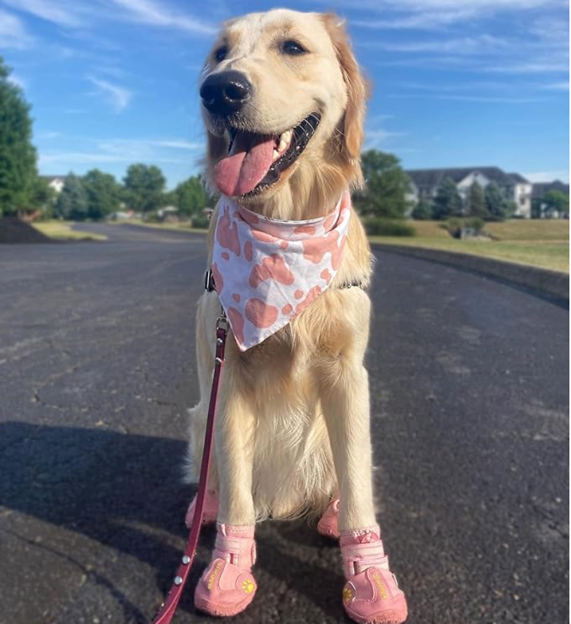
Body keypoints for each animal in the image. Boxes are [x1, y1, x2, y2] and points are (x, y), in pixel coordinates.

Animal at [187, 9, 406, 624]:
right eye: (219, 53)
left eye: (293, 47)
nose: (218, 90)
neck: (285, 227)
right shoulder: (230, 375)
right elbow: (237, 491)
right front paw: (227, 566)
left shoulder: (347, 373)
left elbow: (357, 486)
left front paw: (369, 577)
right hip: (200, 414)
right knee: (214, 472)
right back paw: (203, 508)